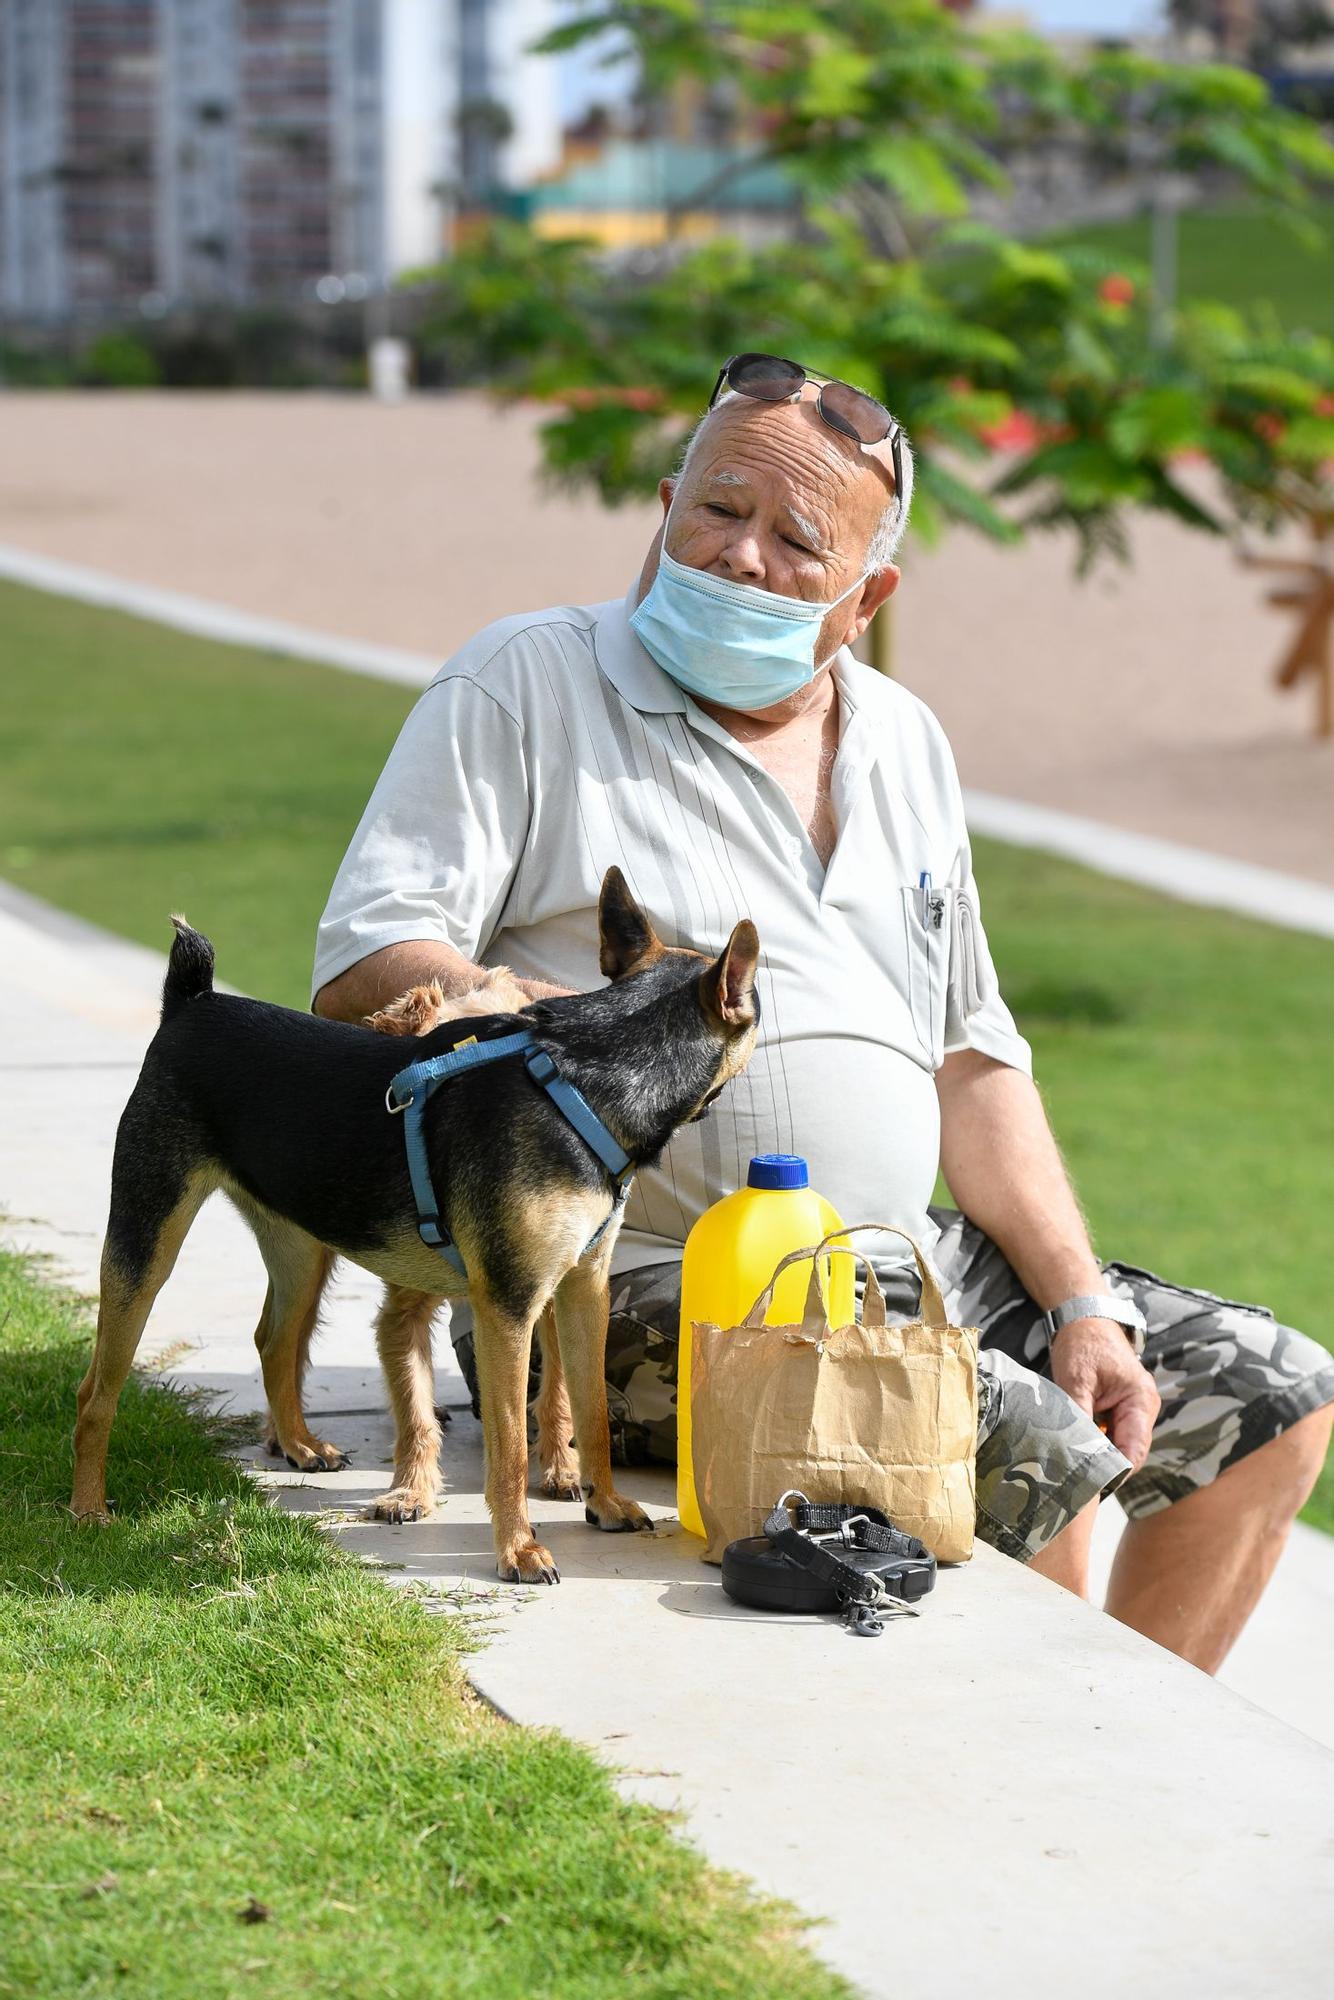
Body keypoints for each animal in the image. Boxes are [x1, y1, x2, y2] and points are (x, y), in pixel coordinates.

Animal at [73, 868, 760, 1584]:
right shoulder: (508, 1309)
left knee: (273, 1339)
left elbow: (591, 1411)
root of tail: (193, 1004)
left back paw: (299, 1444)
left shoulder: (583, 1291)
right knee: (96, 1393)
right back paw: (89, 1511)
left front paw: (606, 1503)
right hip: (145, 1244)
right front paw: (518, 1548)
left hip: (298, 1248)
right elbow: (509, 1447)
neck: (580, 1082)